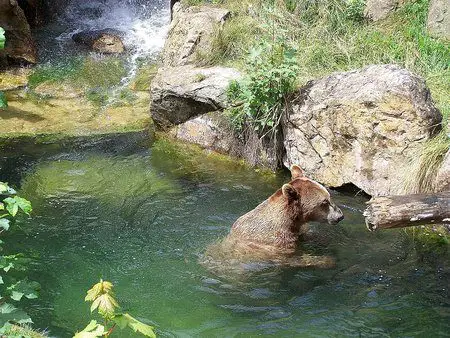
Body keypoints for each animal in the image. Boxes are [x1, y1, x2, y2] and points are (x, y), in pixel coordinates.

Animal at [204, 165, 344, 270]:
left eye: (329, 197)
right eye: (324, 202)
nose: (340, 216)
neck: (289, 219)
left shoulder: (295, 230)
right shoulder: (278, 243)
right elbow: (294, 258)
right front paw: (328, 260)